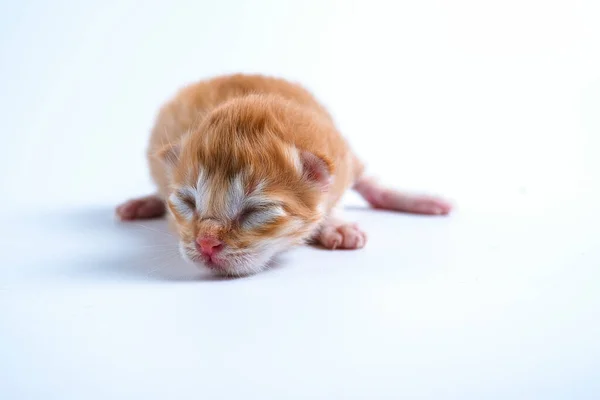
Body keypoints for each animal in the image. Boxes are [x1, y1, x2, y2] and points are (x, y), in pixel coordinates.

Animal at [117, 73, 452, 276]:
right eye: (188, 203)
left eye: (255, 211)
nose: (205, 244)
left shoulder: (338, 155)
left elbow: (334, 196)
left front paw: (337, 225)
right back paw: (142, 204)